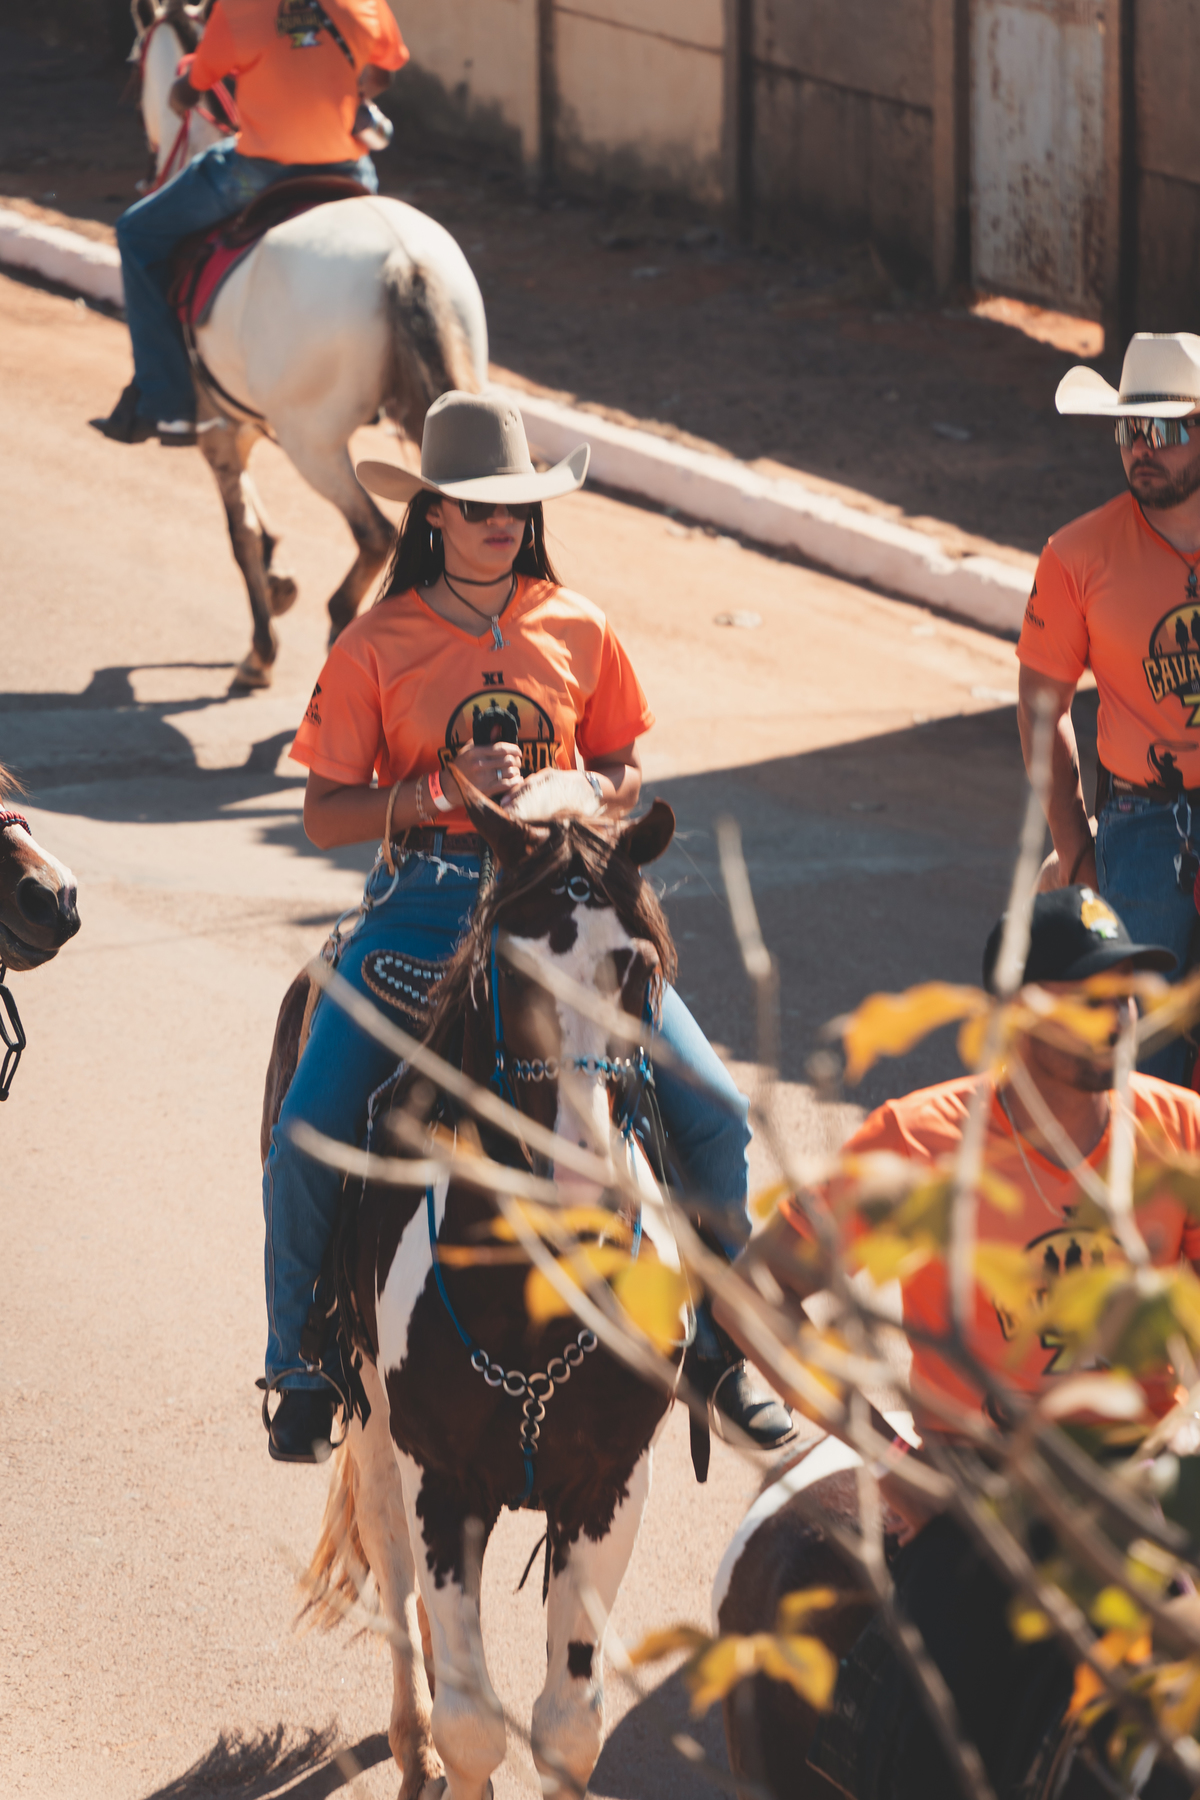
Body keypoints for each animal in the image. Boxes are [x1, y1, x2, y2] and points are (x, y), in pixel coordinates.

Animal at [129, 1, 487, 690]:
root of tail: (403, 260)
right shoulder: (239, 418)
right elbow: (253, 525)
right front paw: (278, 581)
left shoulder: (219, 426)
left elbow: (238, 531)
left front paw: (260, 649)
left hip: (311, 439)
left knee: (374, 535)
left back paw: (342, 628)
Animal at [263, 786, 685, 1799]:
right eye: (509, 970)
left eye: (641, 970)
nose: (582, 1193)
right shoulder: (442, 1479)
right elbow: (471, 1724)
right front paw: (441, 1749)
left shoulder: (610, 1485)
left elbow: (566, 1726)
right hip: (370, 1422)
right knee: (396, 1572)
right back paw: (409, 1742)